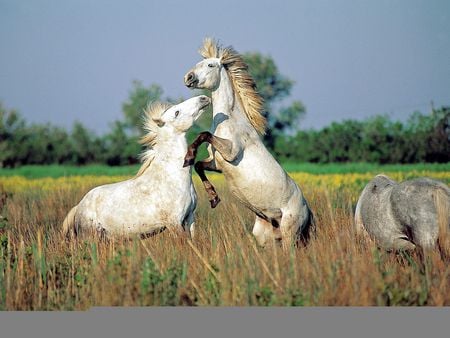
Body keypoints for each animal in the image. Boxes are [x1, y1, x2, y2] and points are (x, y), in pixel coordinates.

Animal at [62, 94, 212, 238]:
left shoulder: (190, 218)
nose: (204, 98)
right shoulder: (174, 223)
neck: (172, 178)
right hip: (90, 236)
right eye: (176, 112)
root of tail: (78, 206)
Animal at [183, 38, 312, 247]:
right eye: (198, 63)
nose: (188, 77)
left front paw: (188, 156)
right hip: (265, 235)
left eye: (210, 65)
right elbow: (199, 165)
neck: (231, 121)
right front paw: (213, 199)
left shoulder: (231, 152)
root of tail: (307, 211)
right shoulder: (217, 162)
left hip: (289, 233)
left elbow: (203, 135)